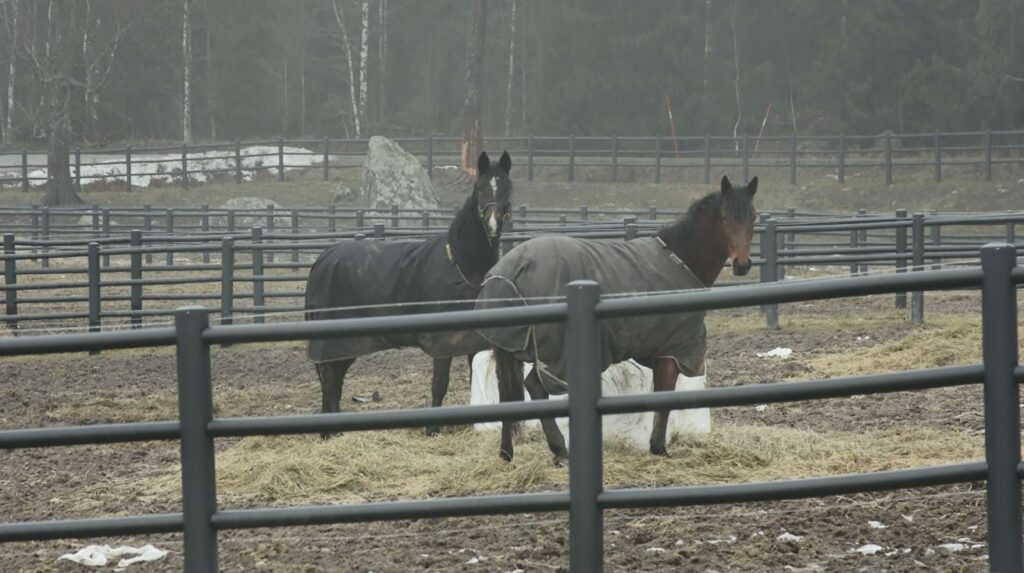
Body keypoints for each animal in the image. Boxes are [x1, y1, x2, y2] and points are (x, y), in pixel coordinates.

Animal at [303, 150, 512, 435]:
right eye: (480, 189)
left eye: (506, 188)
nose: (492, 225)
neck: (460, 263)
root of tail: (322, 260)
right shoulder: (442, 341)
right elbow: (439, 384)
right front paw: (432, 430)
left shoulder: (471, 340)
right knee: (331, 383)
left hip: (345, 347)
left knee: (334, 384)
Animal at [475, 175, 757, 466]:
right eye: (724, 217)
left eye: (753, 217)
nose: (742, 264)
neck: (681, 260)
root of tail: (511, 270)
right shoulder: (673, 352)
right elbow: (664, 401)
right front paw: (658, 448)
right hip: (555, 356)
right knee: (534, 386)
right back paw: (560, 450)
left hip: (513, 347)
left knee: (508, 393)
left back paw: (507, 452)